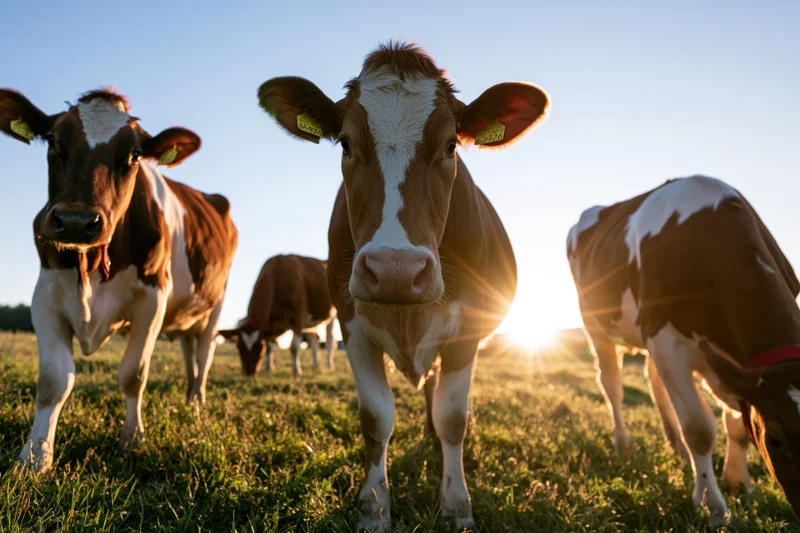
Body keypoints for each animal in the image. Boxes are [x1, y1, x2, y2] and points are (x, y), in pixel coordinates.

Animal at [0, 88, 238, 472]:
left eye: (134, 154)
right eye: (53, 140)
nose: (76, 221)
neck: (90, 266)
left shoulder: (153, 299)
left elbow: (133, 374)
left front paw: (132, 439)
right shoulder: (45, 295)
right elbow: (54, 379)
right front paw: (36, 456)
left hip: (215, 304)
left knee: (204, 354)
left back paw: (197, 404)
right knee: (189, 351)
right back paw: (189, 399)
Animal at [257, 41, 549, 531]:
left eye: (451, 145)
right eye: (346, 143)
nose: (395, 269)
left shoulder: (466, 331)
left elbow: (453, 417)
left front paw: (456, 506)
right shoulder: (353, 328)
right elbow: (376, 418)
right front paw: (374, 506)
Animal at [567, 175, 800, 525]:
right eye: (774, 439)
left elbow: (738, 426)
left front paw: (737, 483)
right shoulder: (667, 342)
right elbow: (700, 429)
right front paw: (712, 506)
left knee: (653, 379)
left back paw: (674, 444)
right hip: (596, 326)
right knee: (612, 385)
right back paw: (624, 446)